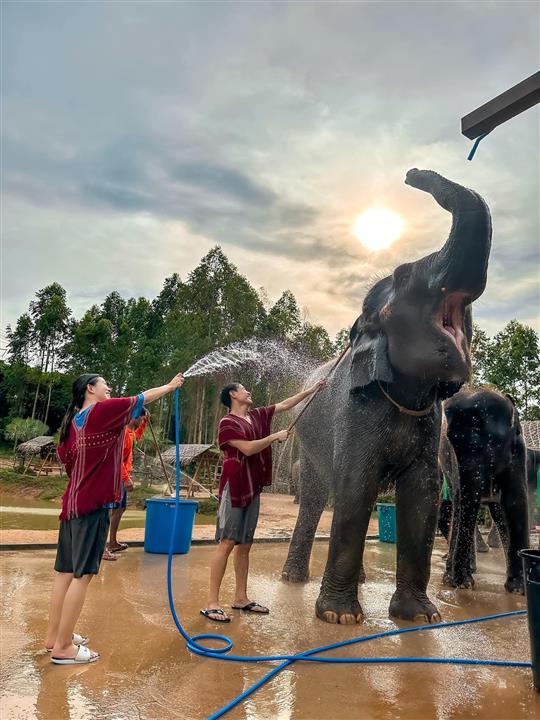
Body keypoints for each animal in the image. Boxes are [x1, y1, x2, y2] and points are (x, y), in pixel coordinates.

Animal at [281, 168, 492, 624]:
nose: (413, 175)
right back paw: (293, 579)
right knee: (317, 496)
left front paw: (422, 616)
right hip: (309, 442)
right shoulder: (356, 411)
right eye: (404, 276)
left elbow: (423, 494)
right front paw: (340, 618)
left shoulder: (430, 423)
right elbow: (355, 484)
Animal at [440, 388, 528, 593]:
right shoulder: (453, 463)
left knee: (496, 511)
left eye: (494, 443)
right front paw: (462, 582)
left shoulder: (519, 452)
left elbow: (515, 500)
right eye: (450, 442)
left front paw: (519, 589)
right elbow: (460, 501)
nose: (456, 583)